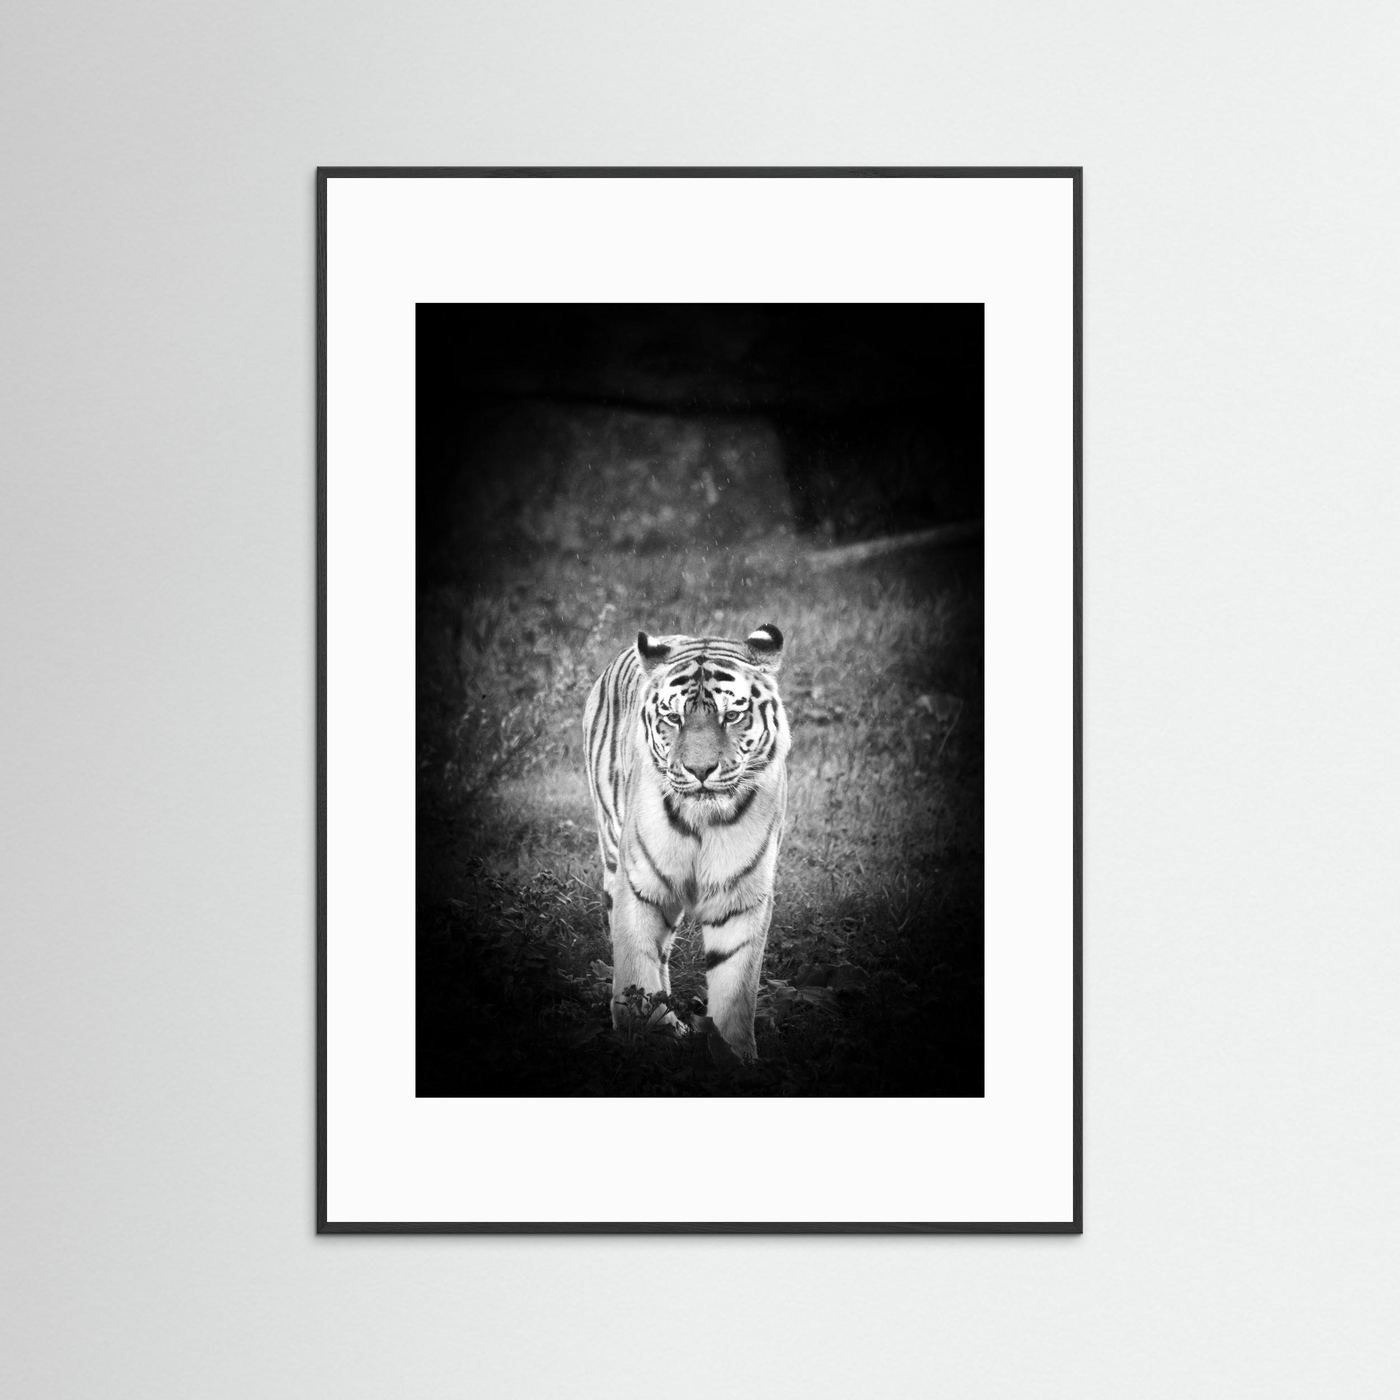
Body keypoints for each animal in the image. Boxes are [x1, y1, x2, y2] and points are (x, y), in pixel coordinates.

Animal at [582, 623, 790, 1060]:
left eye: (732, 715)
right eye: (673, 718)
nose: (700, 770)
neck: (702, 821)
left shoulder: (741, 896)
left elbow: (735, 986)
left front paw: (734, 1056)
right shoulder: (639, 885)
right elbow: (636, 965)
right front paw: (646, 1038)